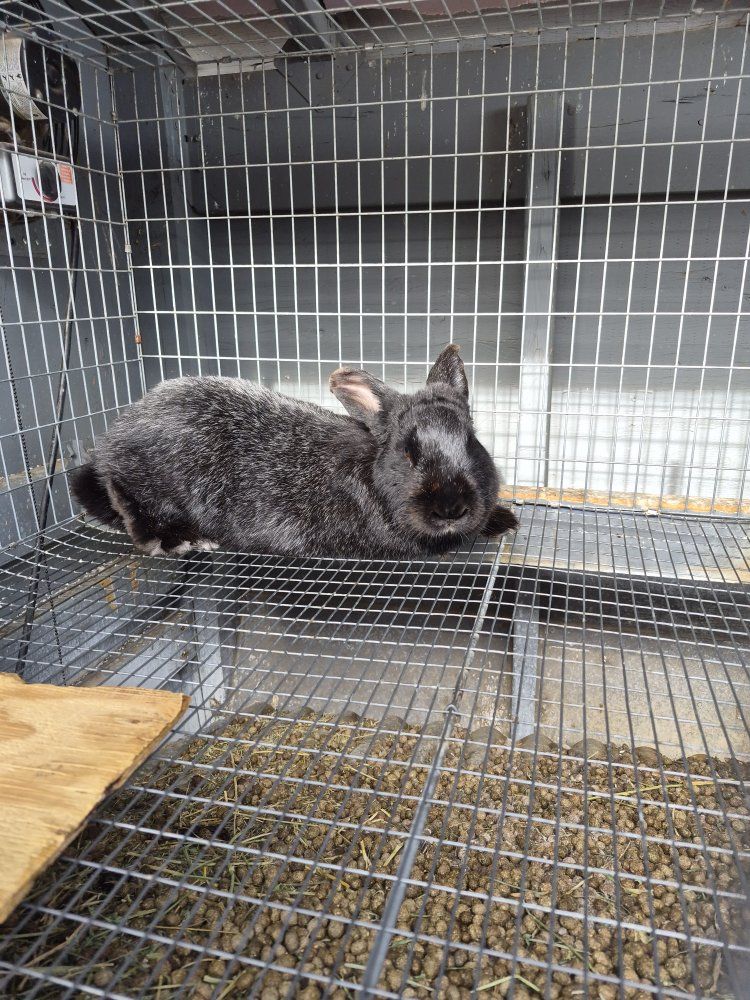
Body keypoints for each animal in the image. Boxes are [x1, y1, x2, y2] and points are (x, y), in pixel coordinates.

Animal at [69, 344, 518, 559]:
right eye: (408, 455)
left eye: (472, 441)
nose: (451, 509)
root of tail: (111, 448)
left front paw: (503, 518)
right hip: (149, 489)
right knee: (140, 522)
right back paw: (183, 541)